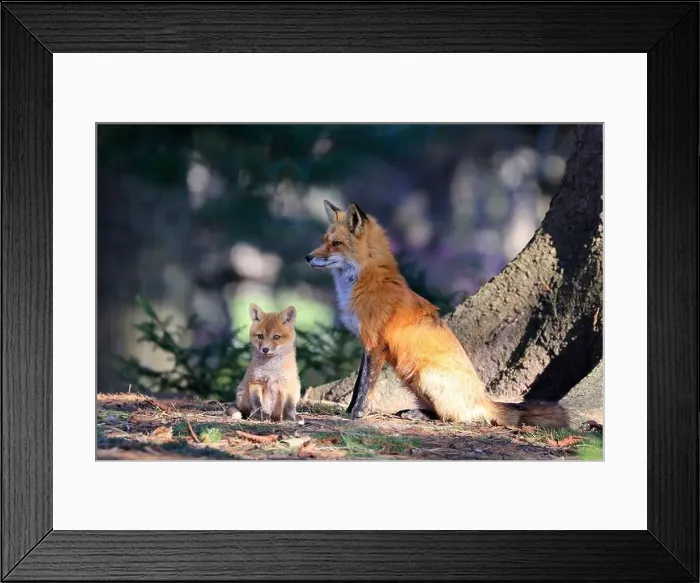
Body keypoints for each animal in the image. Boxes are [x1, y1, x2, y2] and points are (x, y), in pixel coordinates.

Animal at [305, 200, 568, 428]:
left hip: (424, 375)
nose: (307, 257)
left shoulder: (375, 344)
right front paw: (349, 410)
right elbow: (359, 382)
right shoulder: (366, 345)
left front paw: (358, 413)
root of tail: (482, 398)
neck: (368, 281)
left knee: (452, 417)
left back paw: (420, 415)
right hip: (411, 379)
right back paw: (412, 411)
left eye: (336, 244)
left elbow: (365, 386)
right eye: (323, 240)